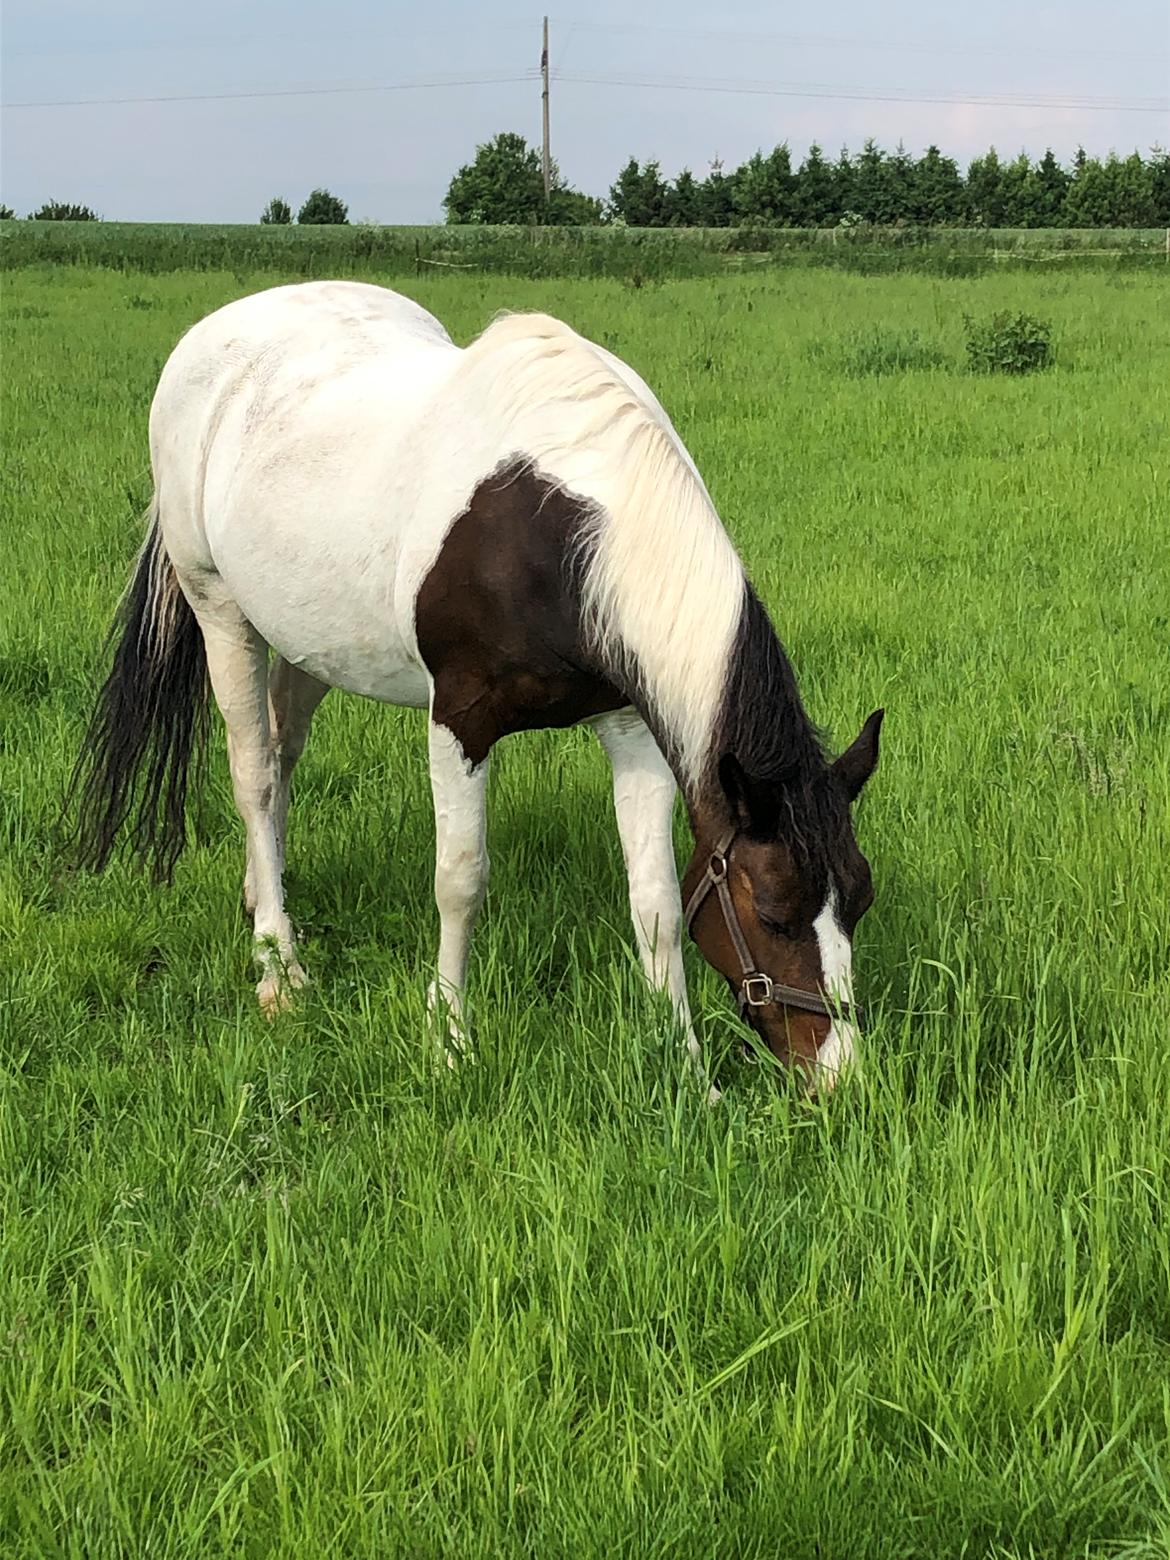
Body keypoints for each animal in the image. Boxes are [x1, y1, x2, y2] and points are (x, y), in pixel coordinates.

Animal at [68, 287, 886, 1104]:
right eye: (773, 914)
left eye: (861, 899)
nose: (839, 1076)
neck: (554, 532)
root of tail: (213, 334)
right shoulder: (459, 721)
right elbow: (460, 880)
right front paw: (451, 1043)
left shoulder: (632, 725)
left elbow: (655, 901)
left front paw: (687, 1067)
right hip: (220, 611)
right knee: (255, 776)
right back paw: (280, 965)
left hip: (306, 640)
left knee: (282, 752)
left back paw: (258, 894)